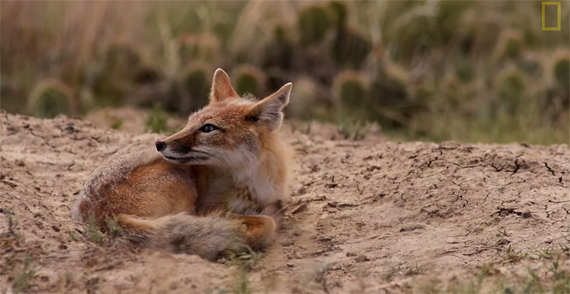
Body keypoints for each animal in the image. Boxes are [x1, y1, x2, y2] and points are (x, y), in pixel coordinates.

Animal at [71, 68, 292, 260]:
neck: (250, 180)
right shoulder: (205, 207)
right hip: (183, 183)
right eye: (188, 123)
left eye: (208, 128)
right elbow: (268, 222)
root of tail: (101, 212)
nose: (160, 144)